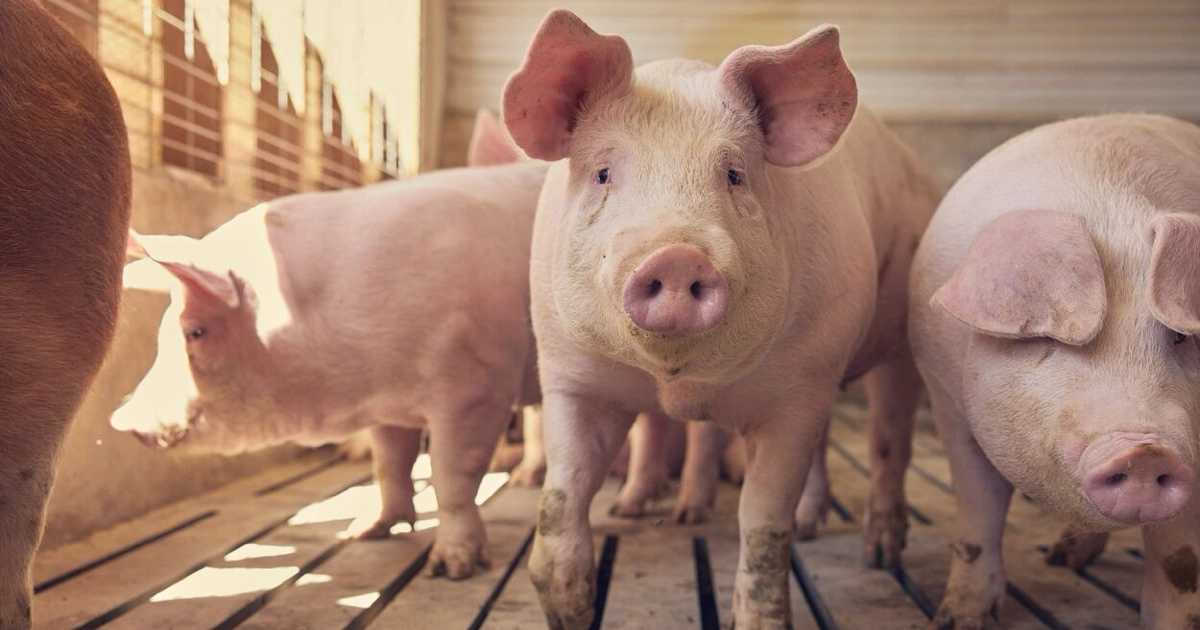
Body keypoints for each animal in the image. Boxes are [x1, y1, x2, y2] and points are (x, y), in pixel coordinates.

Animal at [111, 115, 548, 579]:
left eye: (194, 332)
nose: (120, 421)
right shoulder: (391, 405)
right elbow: (389, 463)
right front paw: (365, 532)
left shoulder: (476, 387)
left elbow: (453, 475)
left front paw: (450, 569)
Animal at [501, 10, 941, 629]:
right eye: (604, 172)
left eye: (733, 175)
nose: (675, 255)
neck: (677, 385)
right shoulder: (570, 374)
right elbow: (563, 497)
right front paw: (568, 610)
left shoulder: (797, 391)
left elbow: (762, 524)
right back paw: (811, 527)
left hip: (896, 338)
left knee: (887, 440)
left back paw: (879, 555)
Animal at [908, 113, 1200, 629]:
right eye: (1053, 340)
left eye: (1181, 337)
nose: (1144, 452)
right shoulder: (947, 402)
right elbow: (978, 516)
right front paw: (954, 620)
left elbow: (1177, 561)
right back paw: (1061, 560)